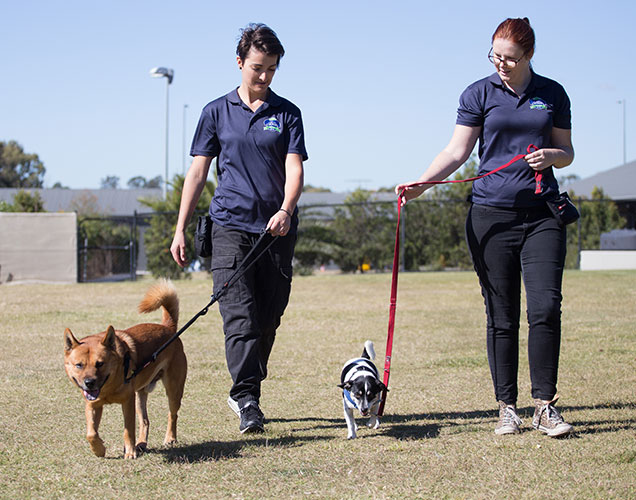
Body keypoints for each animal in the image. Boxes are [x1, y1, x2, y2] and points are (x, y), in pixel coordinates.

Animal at [62, 280, 186, 458]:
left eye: (100, 363)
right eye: (79, 365)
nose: (89, 383)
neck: (108, 388)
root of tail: (169, 328)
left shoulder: (128, 401)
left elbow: (128, 430)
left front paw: (130, 452)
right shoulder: (93, 404)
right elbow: (91, 433)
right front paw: (99, 449)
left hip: (173, 390)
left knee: (172, 414)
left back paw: (170, 438)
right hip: (140, 395)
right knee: (145, 421)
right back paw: (141, 443)